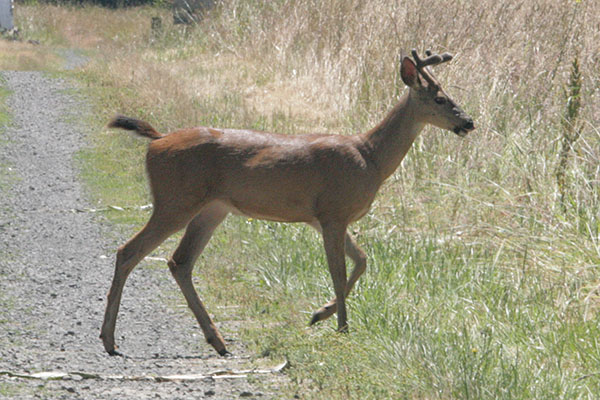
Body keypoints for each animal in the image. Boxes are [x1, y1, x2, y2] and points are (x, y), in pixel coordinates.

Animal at [99, 50, 474, 356]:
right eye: (440, 98)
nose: (469, 121)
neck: (370, 158)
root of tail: (157, 140)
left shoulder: (323, 217)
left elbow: (362, 260)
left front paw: (320, 314)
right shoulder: (333, 211)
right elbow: (339, 270)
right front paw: (341, 327)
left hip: (212, 208)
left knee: (179, 262)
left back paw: (217, 341)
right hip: (175, 200)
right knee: (129, 251)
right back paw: (109, 339)